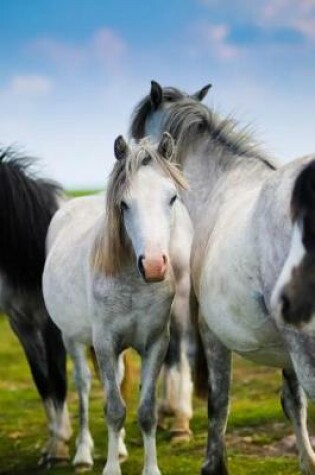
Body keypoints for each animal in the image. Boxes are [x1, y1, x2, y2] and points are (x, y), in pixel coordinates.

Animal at [42, 134, 193, 475]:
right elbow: (113, 409)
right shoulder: (105, 344)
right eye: (124, 204)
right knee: (84, 387)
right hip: (72, 339)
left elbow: (146, 411)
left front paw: (150, 468)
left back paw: (121, 448)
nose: (154, 265)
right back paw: (83, 454)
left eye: (172, 198)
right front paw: (110, 468)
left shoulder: (155, 343)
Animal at [131, 80, 315, 474]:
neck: (222, 182)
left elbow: (219, 401)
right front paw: (307, 461)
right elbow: (293, 401)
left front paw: (214, 464)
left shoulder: (212, 331)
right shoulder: (286, 349)